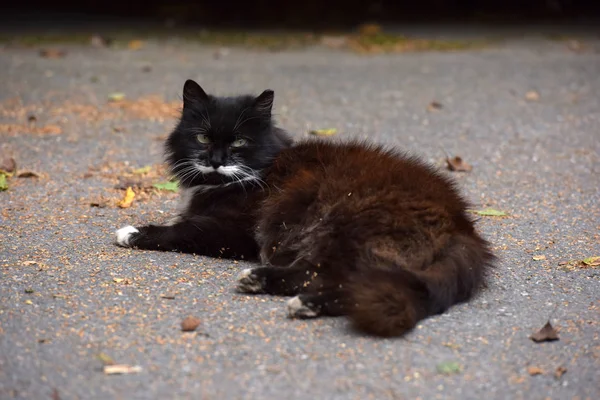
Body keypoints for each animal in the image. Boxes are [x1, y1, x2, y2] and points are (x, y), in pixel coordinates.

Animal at [115, 79, 494, 336]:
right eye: (203, 137)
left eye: (239, 142)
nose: (217, 161)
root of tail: (463, 226)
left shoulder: (235, 231)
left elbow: (183, 228)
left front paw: (133, 232)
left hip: (345, 225)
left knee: (334, 277)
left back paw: (287, 293)